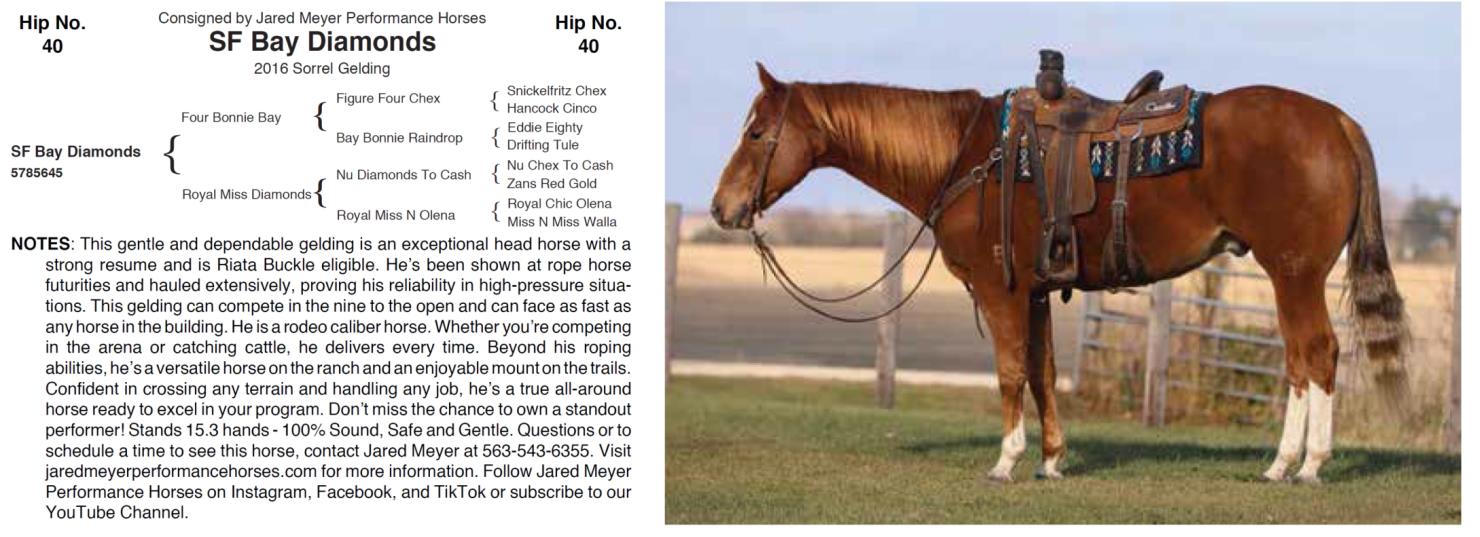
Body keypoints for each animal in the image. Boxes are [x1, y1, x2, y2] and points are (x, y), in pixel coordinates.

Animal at [708, 63, 1409, 484]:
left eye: (756, 133)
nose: (721, 208)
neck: (968, 155)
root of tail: (1336, 120)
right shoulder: (1039, 293)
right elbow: (1043, 373)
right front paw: (1050, 461)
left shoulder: (1003, 291)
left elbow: (1010, 372)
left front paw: (1007, 460)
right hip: (1292, 277)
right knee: (1298, 361)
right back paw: (1286, 462)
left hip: (1294, 273)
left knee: (1316, 355)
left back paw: (1304, 464)